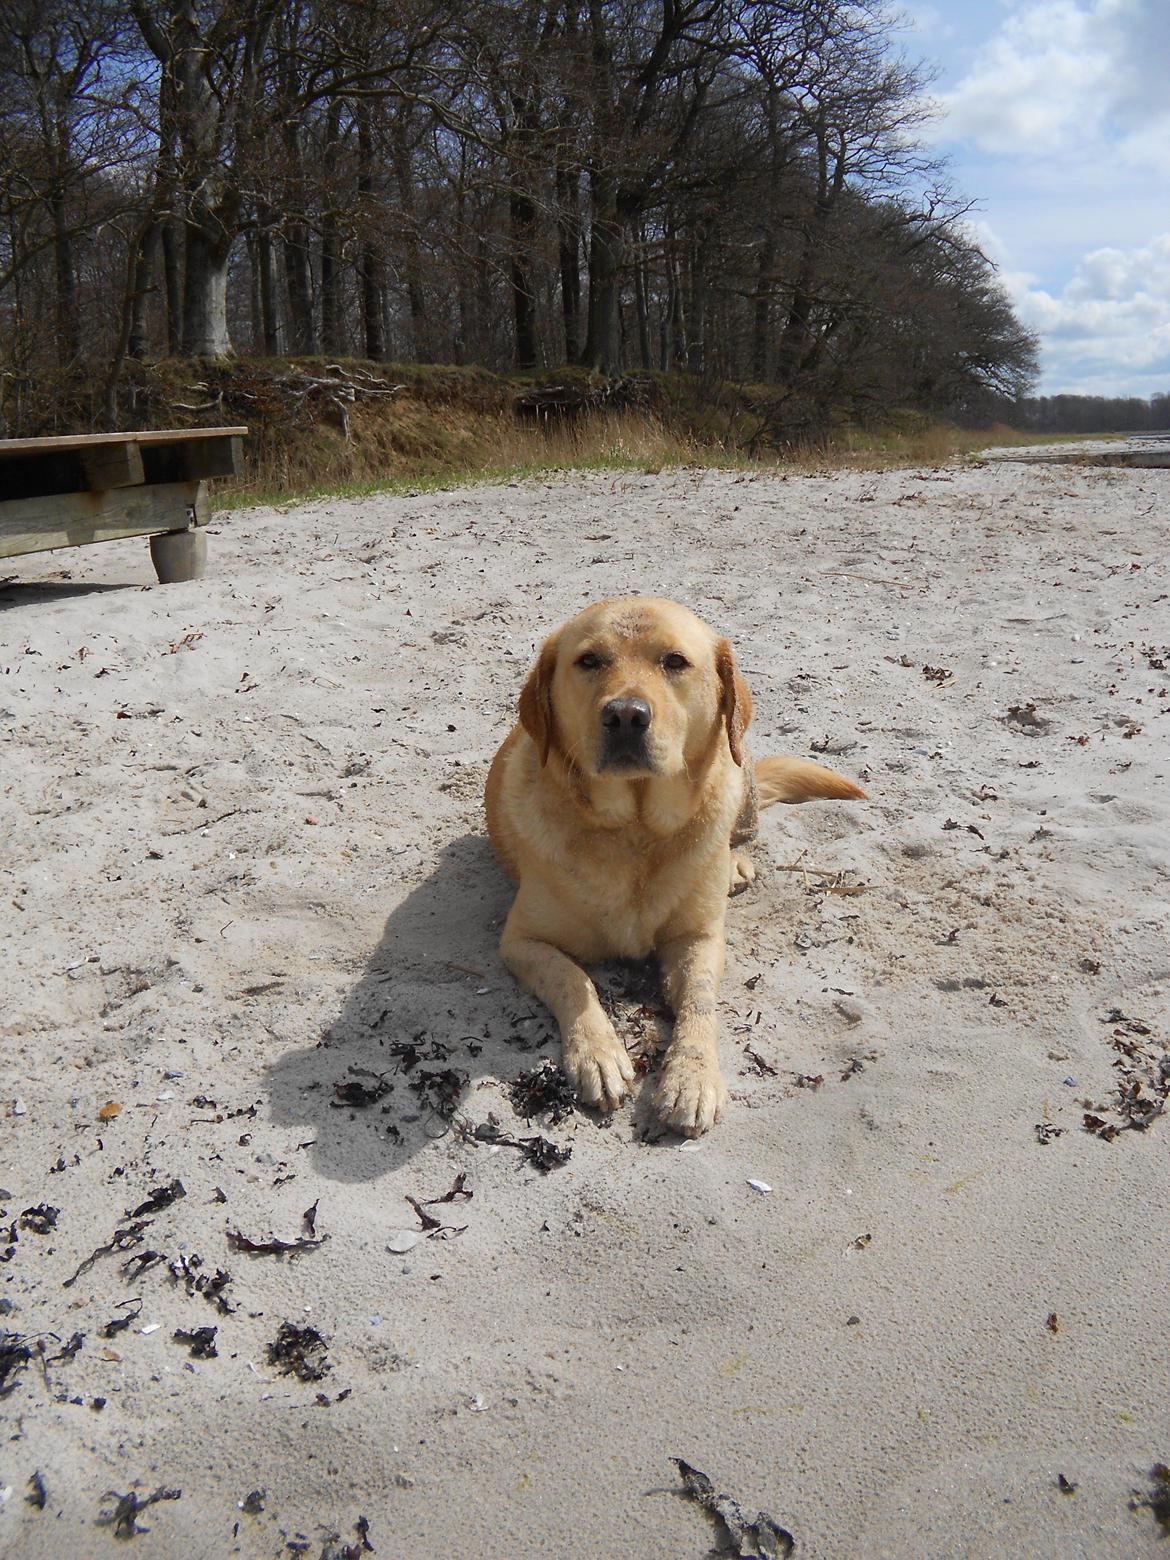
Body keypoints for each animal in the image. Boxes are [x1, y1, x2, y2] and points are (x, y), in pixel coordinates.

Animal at [480, 595, 867, 1135]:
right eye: (589, 661)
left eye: (675, 662)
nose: (625, 715)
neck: (636, 830)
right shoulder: (521, 941)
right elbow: (572, 979)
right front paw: (597, 1054)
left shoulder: (698, 938)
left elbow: (700, 1004)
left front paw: (692, 1077)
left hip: (738, 772)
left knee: (742, 830)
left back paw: (734, 864)